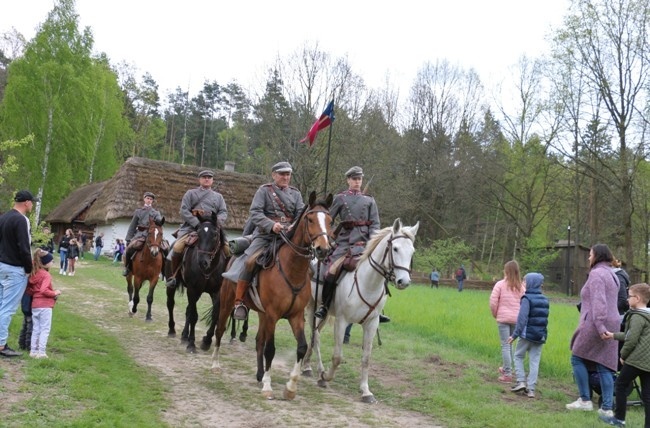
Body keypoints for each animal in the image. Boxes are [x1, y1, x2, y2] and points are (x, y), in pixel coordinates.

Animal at [213, 192, 332, 400]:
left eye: (330, 220)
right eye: (310, 219)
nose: (323, 249)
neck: (292, 270)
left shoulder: (295, 316)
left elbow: (301, 347)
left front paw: (291, 387)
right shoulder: (272, 315)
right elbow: (270, 349)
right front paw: (268, 387)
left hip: (262, 314)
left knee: (259, 341)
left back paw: (260, 374)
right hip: (228, 304)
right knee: (219, 331)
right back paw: (215, 365)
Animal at [302, 219, 418, 402]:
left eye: (412, 251)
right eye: (395, 248)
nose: (404, 281)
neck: (368, 282)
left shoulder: (371, 324)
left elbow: (366, 358)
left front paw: (366, 391)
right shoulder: (342, 321)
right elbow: (337, 357)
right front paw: (326, 377)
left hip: (324, 313)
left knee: (315, 335)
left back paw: (307, 366)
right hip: (313, 307)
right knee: (315, 336)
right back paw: (318, 371)